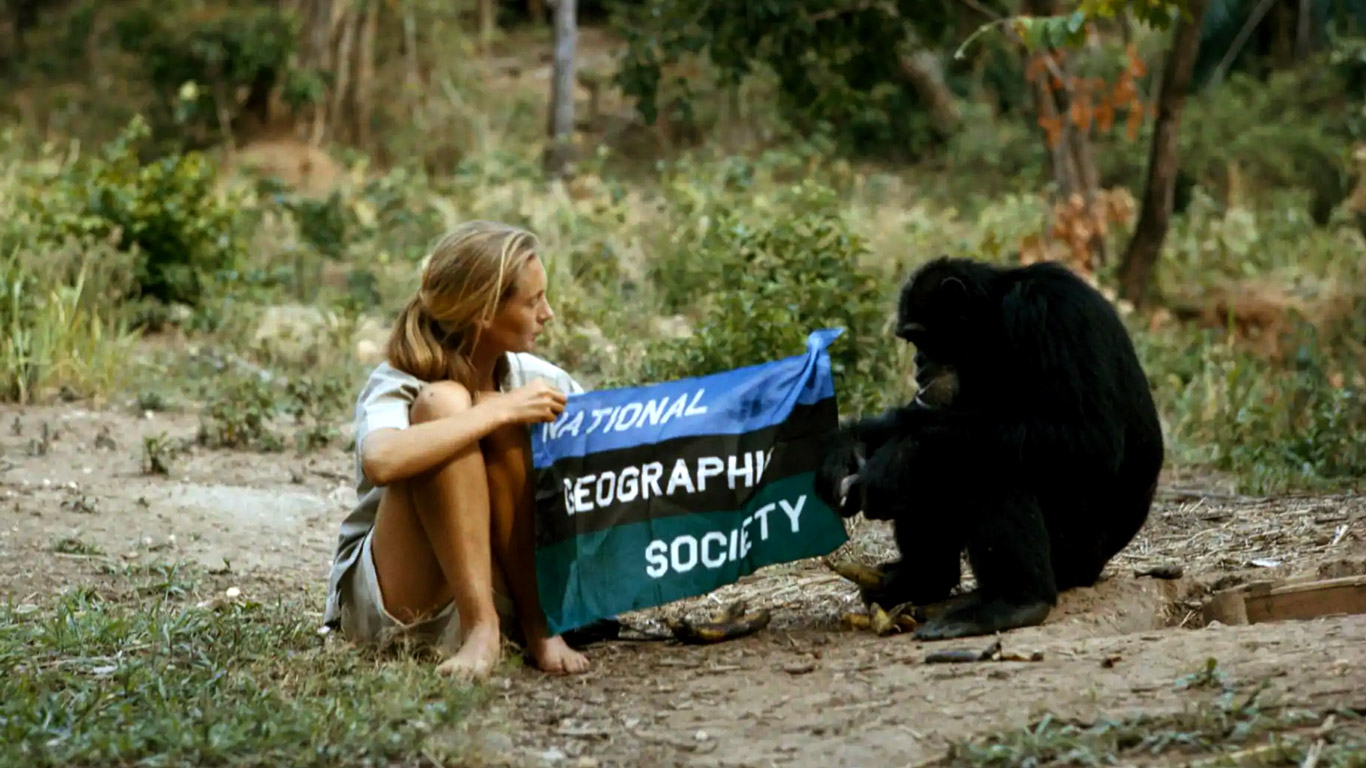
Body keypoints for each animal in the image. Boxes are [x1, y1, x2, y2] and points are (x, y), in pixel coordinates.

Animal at [814, 255, 1169, 639]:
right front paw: (846, 449)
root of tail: (1099, 567)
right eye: (911, 342)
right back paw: (920, 579)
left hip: (1077, 552)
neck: (994, 325)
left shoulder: (1051, 315)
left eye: (922, 338)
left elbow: (1089, 436)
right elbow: (919, 416)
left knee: (989, 469)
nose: (918, 362)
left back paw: (1014, 601)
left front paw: (897, 456)